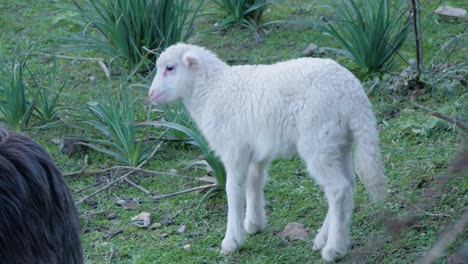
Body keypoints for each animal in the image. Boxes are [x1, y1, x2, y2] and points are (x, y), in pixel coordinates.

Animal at [147, 43, 388, 262]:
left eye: (170, 68)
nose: (151, 94)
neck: (211, 90)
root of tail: (352, 94)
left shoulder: (234, 149)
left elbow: (233, 190)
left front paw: (231, 241)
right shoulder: (257, 151)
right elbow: (255, 181)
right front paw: (253, 224)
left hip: (319, 141)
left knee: (338, 189)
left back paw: (333, 249)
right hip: (340, 143)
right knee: (348, 185)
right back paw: (323, 239)